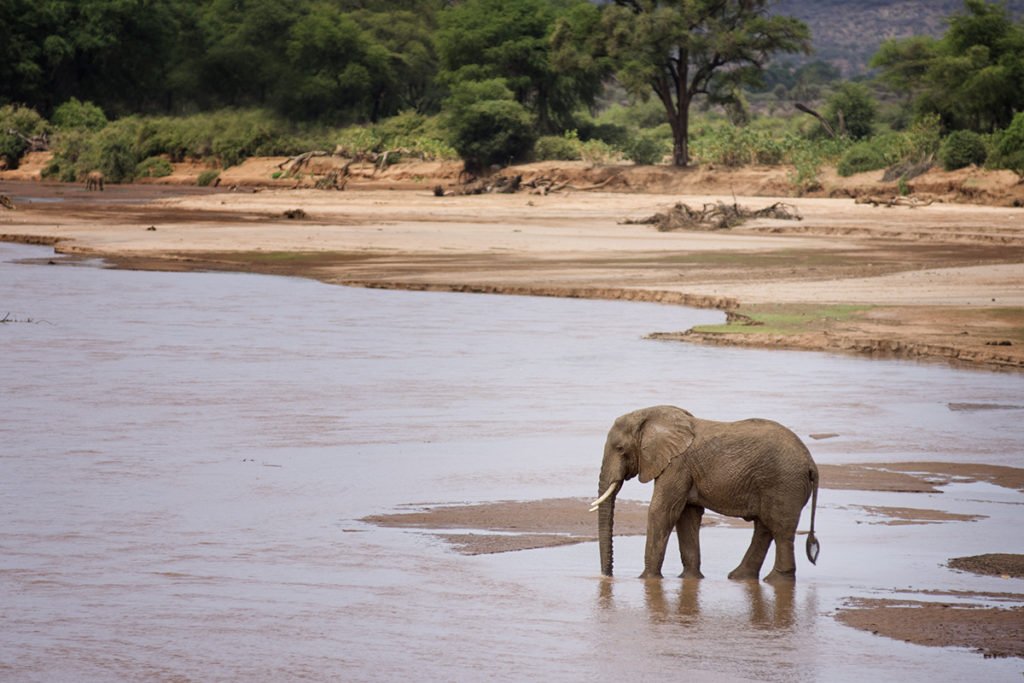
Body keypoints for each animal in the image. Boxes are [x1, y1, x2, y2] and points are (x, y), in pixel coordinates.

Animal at [591, 405, 820, 583]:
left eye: (620, 448)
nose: (607, 577)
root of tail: (811, 464)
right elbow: (687, 515)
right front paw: (690, 579)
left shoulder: (677, 465)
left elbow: (662, 512)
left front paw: (647, 579)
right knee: (764, 527)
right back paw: (740, 577)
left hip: (784, 483)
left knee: (780, 529)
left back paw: (776, 580)